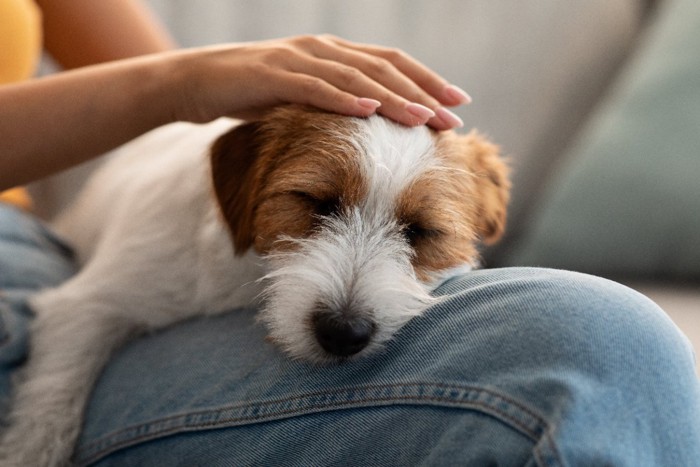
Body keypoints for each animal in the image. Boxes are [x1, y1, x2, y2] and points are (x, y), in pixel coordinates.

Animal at [0, 104, 508, 466]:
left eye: (420, 231)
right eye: (315, 201)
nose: (343, 333)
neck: (243, 274)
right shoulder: (87, 306)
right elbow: (49, 406)